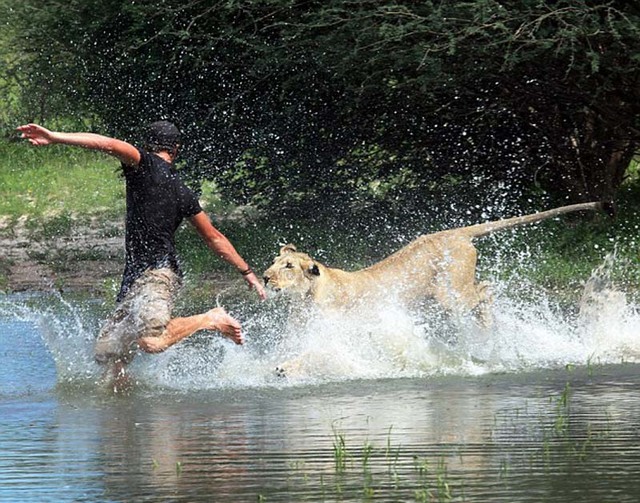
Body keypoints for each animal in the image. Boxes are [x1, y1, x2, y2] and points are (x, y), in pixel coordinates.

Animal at [262, 203, 608, 328]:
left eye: (288, 266)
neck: (305, 297)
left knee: (486, 289)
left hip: (449, 295)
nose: (264, 278)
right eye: (274, 261)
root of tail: (454, 232)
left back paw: (487, 328)